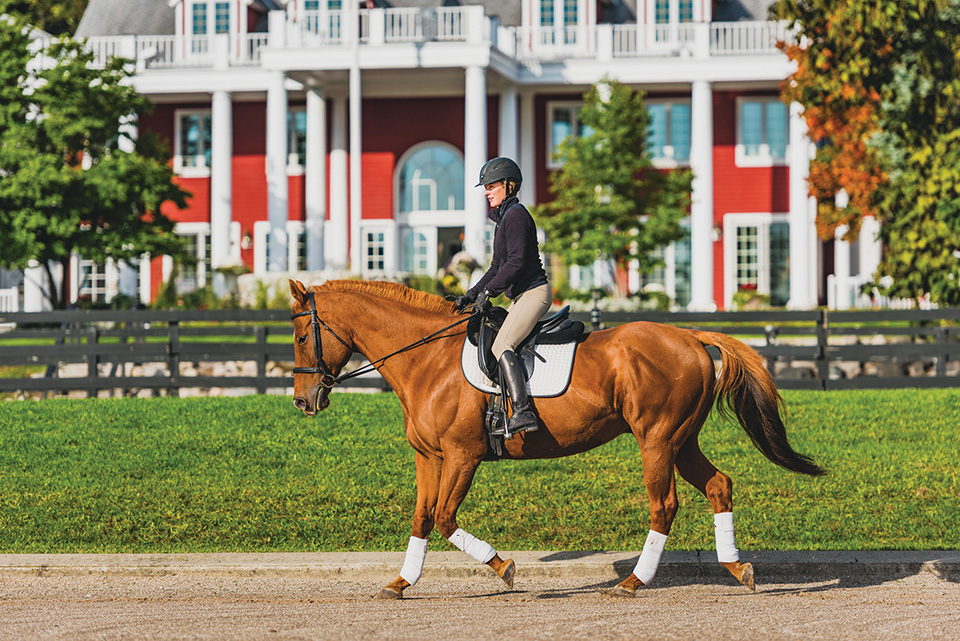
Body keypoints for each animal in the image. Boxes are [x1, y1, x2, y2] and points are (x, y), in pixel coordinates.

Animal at [286, 278, 824, 596]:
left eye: (300, 336)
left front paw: (504, 568)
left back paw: (633, 582)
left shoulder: (463, 455)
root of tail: (691, 336)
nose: (303, 401)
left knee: (664, 505)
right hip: (681, 441)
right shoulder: (429, 456)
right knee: (718, 486)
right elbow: (421, 518)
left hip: (656, 440)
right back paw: (737, 568)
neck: (427, 359)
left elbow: (443, 518)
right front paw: (400, 583)